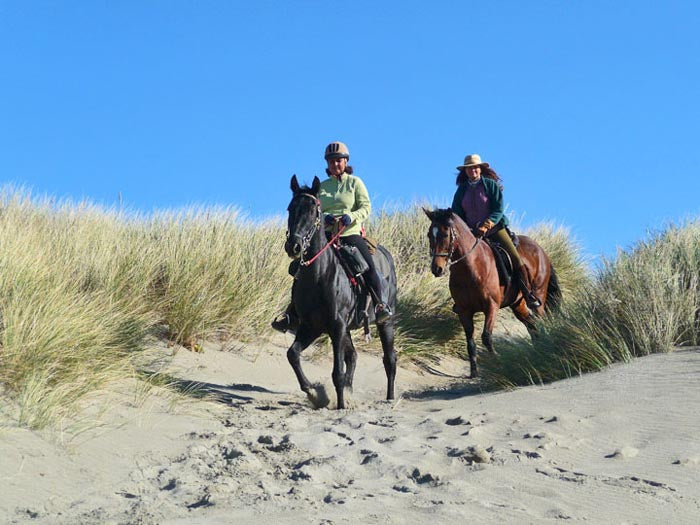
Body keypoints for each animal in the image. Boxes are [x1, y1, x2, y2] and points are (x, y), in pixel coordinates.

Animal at [282, 174, 396, 408]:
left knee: (389, 359)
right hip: (347, 329)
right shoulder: (312, 326)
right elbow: (293, 354)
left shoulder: (336, 326)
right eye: (290, 209)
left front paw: (340, 405)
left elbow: (337, 373)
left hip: (385, 322)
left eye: (313, 211)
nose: (294, 246)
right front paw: (313, 391)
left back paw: (390, 398)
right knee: (353, 356)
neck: (318, 276)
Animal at [422, 208, 564, 376]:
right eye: (429, 234)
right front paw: (474, 372)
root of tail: (541, 251)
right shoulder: (464, 311)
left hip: (538, 296)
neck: (471, 267)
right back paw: (537, 348)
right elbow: (470, 342)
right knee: (531, 324)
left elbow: (486, 337)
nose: (436, 269)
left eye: (445, 234)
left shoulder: (491, 306)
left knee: (541, 319)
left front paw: (497, 362)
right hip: (518, 303)